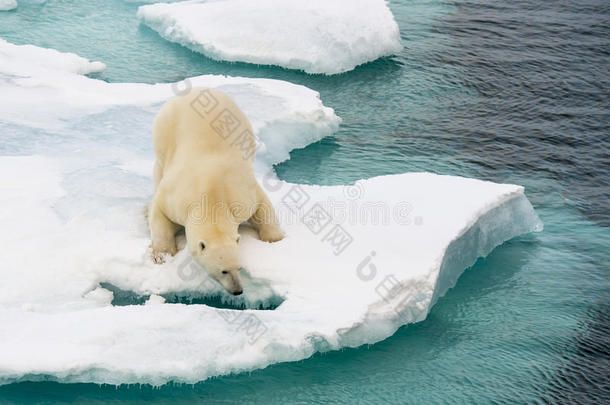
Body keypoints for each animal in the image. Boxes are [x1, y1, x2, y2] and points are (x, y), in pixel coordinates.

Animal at [148, 87, 284, 294]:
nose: (238, 290)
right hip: (164, 131)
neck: (211, 194)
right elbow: (160, 212)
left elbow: (262, 205)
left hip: (242, 126)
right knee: (160, 166)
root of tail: (196, 89)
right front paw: (161, 255)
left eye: (239, 268)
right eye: (223, 271)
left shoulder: (241, 194)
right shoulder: (176, 198)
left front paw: (274, 240)